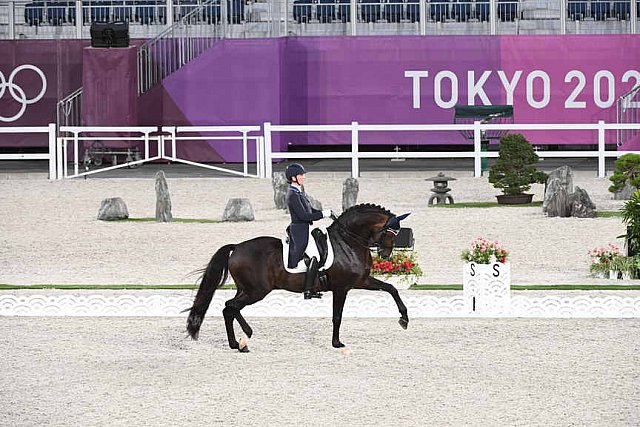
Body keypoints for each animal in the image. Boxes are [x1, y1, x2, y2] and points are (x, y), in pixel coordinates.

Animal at [186, 203, 410, 352]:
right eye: (390, 232)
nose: (385, 255)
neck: (348, 242)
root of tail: (237, 247)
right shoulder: (341, 288)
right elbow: (337, 316)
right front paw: (337, 343)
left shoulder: (361, 281)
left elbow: (391, 288)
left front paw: (404, 319)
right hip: (256, 291)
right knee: (231, 307)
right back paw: (244, 339)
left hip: (247, 289)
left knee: (229, 308)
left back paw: (238, 342)